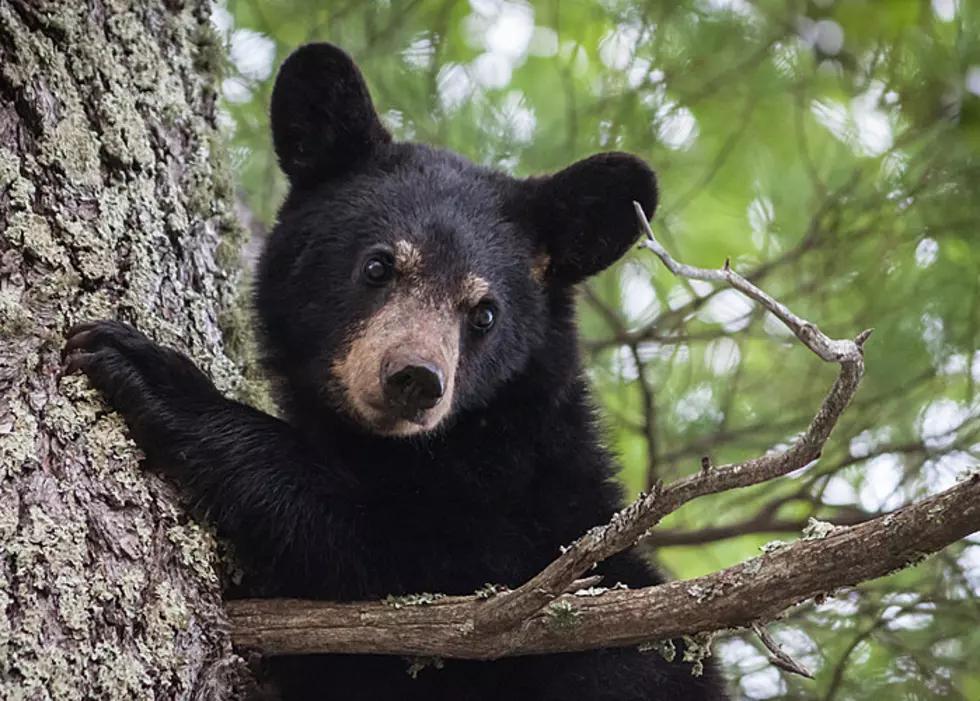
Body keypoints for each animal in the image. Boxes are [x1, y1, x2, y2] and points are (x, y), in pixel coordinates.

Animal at [63, 43, 728, 700]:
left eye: (485, 312)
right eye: (378, 266)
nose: (415, 379)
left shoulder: (519, 549)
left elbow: (390, 552)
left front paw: (156, 377)